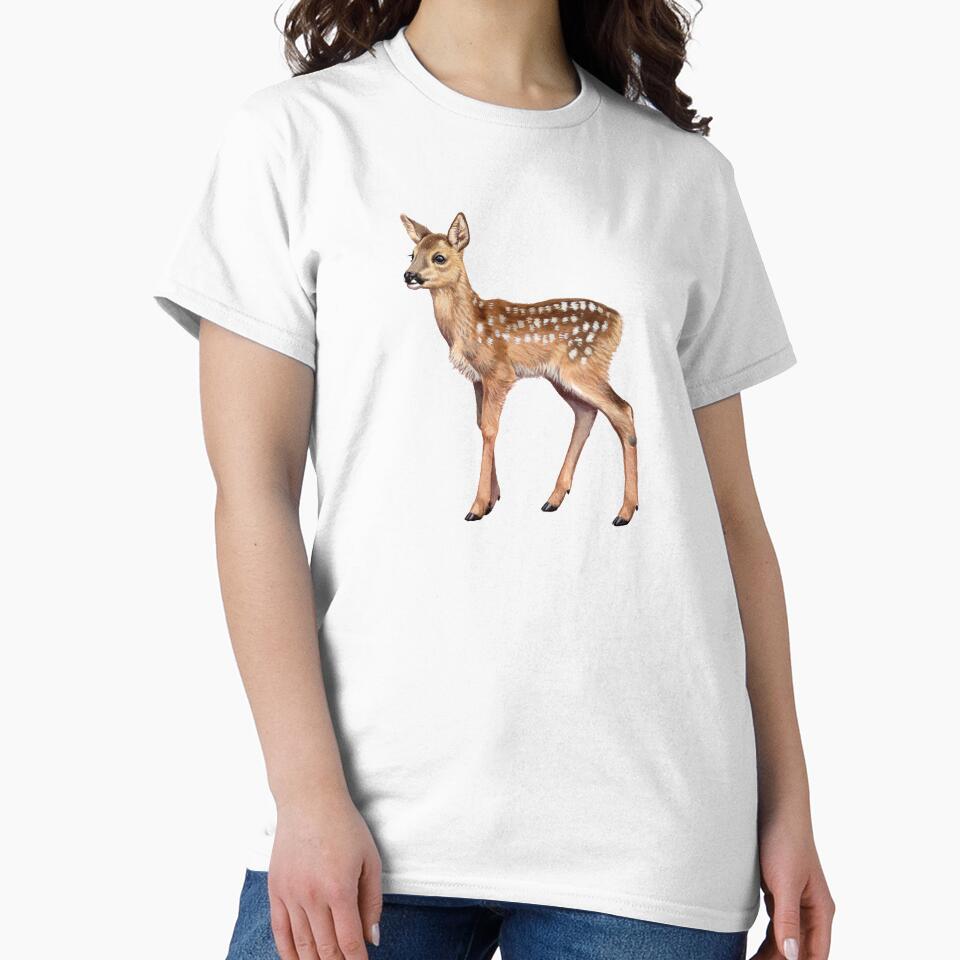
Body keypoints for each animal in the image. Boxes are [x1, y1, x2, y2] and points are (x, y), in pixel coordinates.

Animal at [401, 212, 638, 527]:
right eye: (412, 254)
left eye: (439, 257)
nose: (409, 275)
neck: (469, 324)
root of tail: (619, 321)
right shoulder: (478, 379)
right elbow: (482, 425)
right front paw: (492, 499)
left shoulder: (499, 372)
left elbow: (491, 429)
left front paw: (477, 506)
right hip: (562, 377)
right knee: (587, 414)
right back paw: (554, 499)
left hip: (585, 367)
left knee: (623, 410)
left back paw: (625, 511)